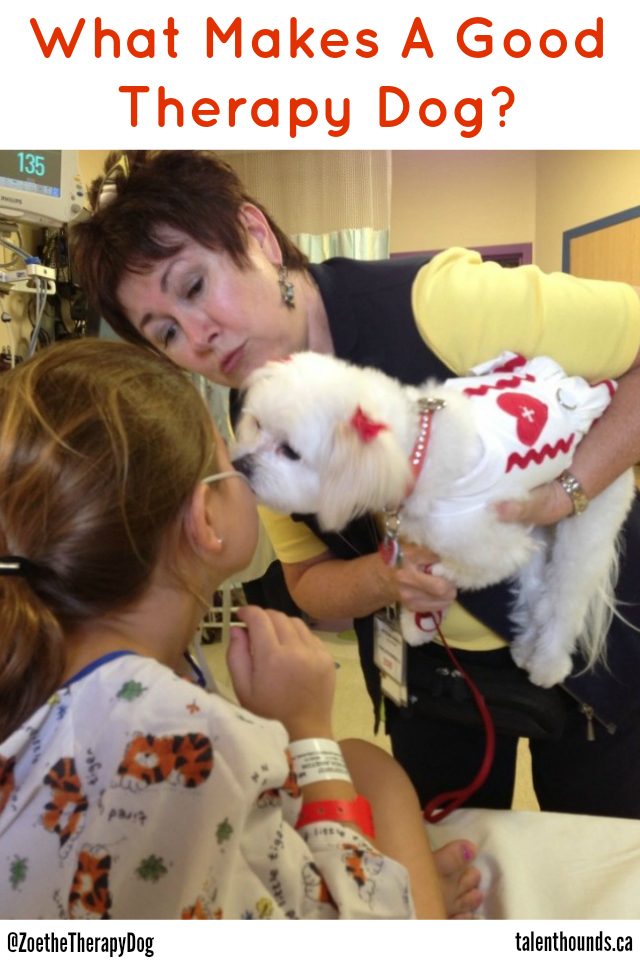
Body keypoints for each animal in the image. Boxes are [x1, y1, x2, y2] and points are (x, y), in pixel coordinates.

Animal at [232, 348, 636, 688]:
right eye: (257, 425)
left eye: (290, 451)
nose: (240, 464)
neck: (417, 449)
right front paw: (420, 623)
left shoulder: (488, 539)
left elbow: (478, 568)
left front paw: (447, 578)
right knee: (536, 593)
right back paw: (525, 648)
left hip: (586, 527)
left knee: (564, 601)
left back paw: (548, 665)